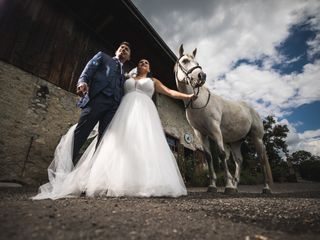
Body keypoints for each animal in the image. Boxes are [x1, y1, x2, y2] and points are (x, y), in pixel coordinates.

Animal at [175, 44, 272, 193]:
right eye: (185, 61)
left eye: (197, 63)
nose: (202, 76)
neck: (199, 102)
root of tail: (253, 110)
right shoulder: (201, 133)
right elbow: (208, 156)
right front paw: (212, 186)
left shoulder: (215, 130)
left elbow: (221, 155)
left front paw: (228, 185)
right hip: (236, 142)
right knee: (239, 160)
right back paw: (236, 187)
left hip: (257, 138)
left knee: (261, 159)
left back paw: (265, 188)